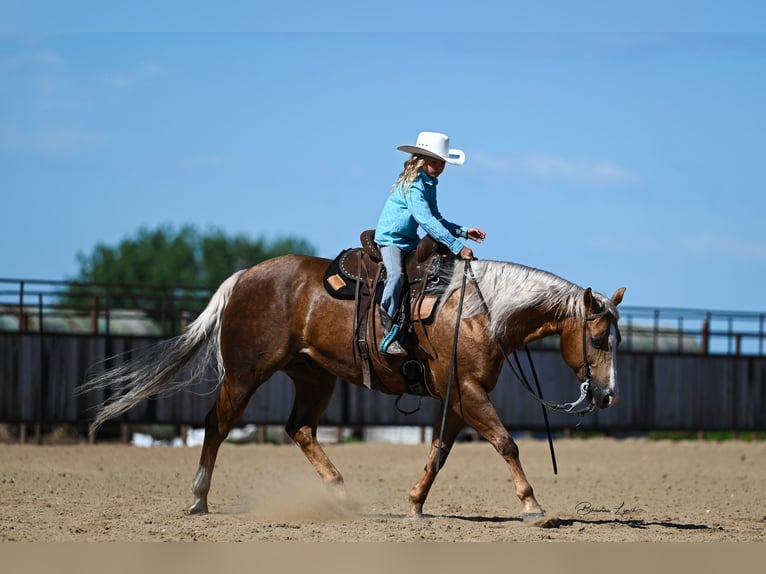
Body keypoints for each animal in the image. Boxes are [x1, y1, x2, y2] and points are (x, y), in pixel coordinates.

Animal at [84, 254, 628, 524]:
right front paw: (533, 507)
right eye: (600, 337)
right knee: (216, 425)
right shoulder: (470, 392)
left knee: (299, 429)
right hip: (245, 373)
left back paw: (342, 495)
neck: (480, 310)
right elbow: (505, 443)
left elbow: (439, 452)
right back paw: (198, 500)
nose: (607, 396)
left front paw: (415, 504)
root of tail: (242, 278)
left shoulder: (458, 398)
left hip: (314, 377)